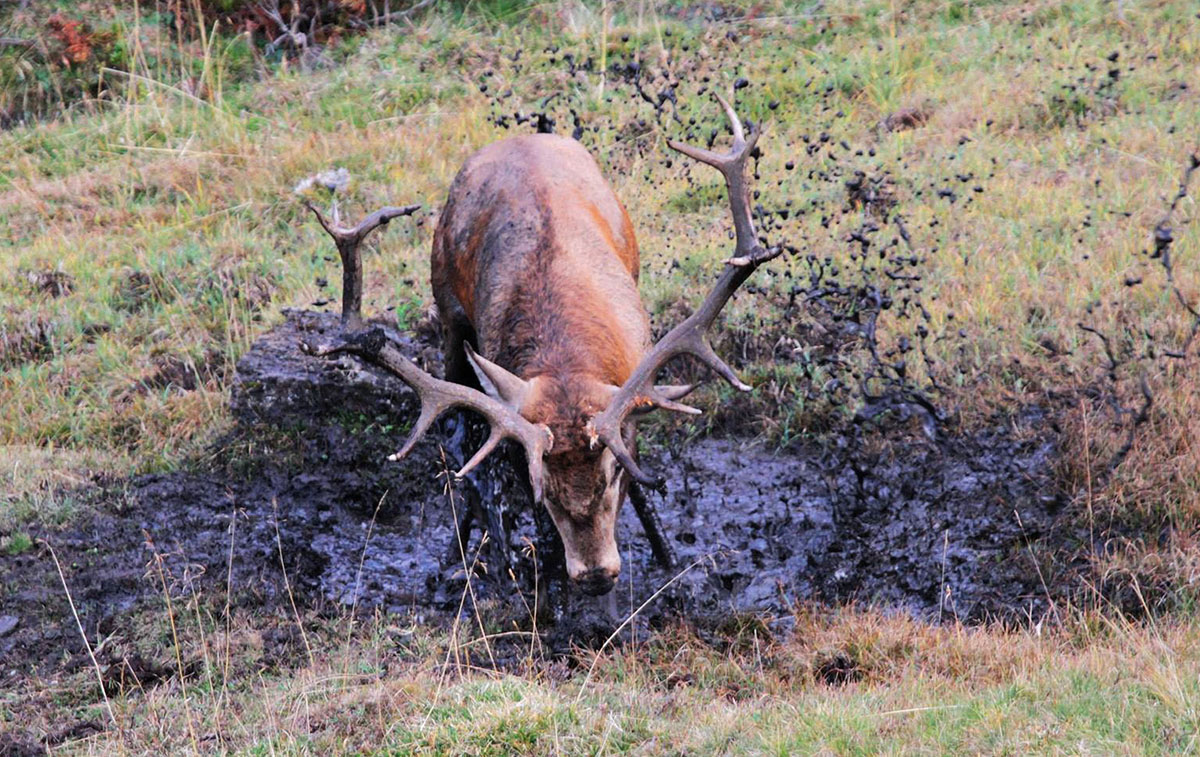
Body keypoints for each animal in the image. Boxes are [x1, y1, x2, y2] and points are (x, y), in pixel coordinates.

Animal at [302, 95, 777, 597]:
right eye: (541, 487)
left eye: (614, 472)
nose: (595, 574)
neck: (565, 358)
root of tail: (519, 137)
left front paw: (668, 558)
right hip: (448, 309)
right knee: (457, 432)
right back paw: (457, 553)